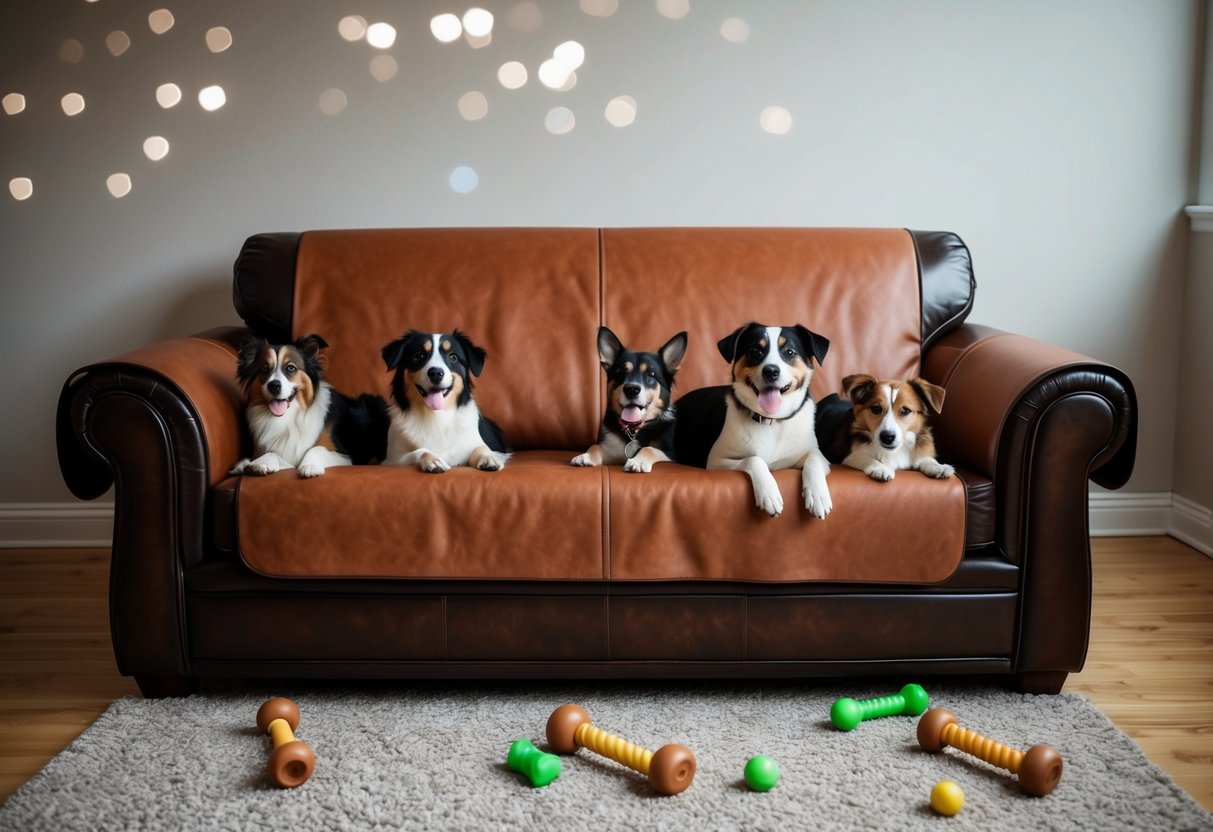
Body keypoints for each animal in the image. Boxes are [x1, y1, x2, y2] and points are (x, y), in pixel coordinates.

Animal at [230, 334, 388, 480]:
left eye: (291, 368)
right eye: (264, 368)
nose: (274, 386)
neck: (288, 417)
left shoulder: (343, 455)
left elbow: (316, 448)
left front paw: (310, 466)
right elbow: (271, 453)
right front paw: (257, 464)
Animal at [380, 332, 509, 475]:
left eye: (453, 357)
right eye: (419, 355)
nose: (436, 373)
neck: (436, 414)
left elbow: (481, 448)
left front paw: (489, 458)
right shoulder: (392, 459)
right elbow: (420, 451)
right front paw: (433, 460)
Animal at [570, 325, 688, 473]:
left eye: (651, 374)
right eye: (621, 372)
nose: (632, 389)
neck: (634, 429)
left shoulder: (670, 454)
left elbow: (649, 448)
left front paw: (638, 461)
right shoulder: (612, 451)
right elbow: (595, 446)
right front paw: (586, 456)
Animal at [674, 322, 834, 519]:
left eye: (789, 352)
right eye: (755, 350)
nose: (771, 371)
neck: (770, 419)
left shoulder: (815, 454)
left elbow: (814, 460)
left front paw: (818, 495)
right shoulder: (716, 460)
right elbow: (754, 459)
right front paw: (768, 493)